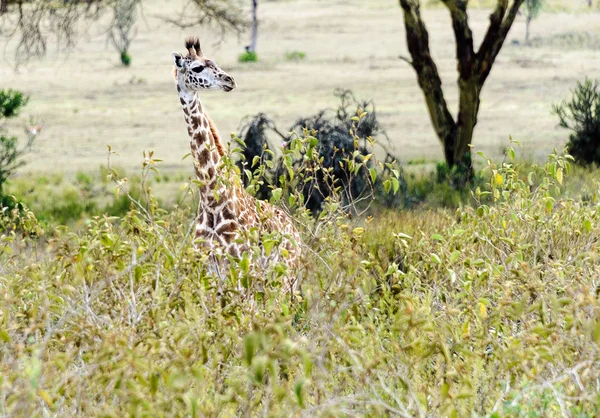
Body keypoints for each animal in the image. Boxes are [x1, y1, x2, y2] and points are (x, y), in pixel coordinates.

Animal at [171, 37, 302, 296]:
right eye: (197, 68)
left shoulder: (240, 267)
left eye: (214, 62)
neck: (211, 200)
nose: (229, 80)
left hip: (285, 279)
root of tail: (296, 233)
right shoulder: (207, 272)